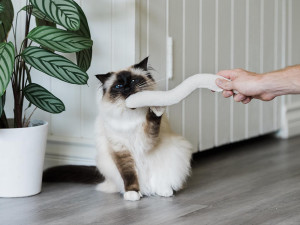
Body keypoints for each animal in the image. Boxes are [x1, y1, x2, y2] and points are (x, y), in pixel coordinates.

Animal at [95, 57, 193, 201]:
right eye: (119, 86)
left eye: (133, 81)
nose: (127, 87)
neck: (131, 117)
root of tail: (148, 190)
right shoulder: (120, 150)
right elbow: (129, 175)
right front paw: (132, 193)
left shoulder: (146, 142)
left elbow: (152, 123)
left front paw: (156, 108)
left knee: (160, 182)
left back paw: (164, 191)